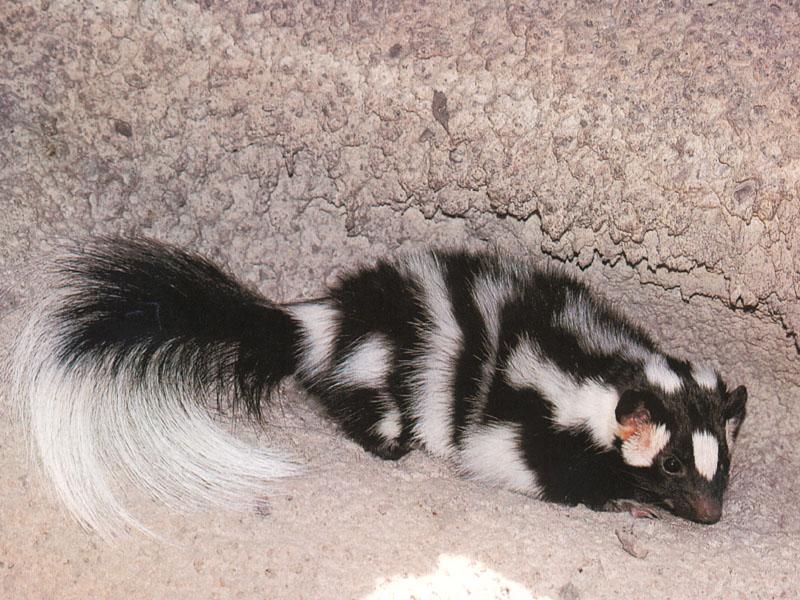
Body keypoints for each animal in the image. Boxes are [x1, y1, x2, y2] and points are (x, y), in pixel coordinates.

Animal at [10, 237, 752, 536]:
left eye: (720, 466)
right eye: (672, 464)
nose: (711, 514)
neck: (607, 370)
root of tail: (324, 318)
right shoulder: (529, 422)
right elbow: (538, 471)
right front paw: (623, 505)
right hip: (384, 373)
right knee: (372, 412)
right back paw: (390, 443)